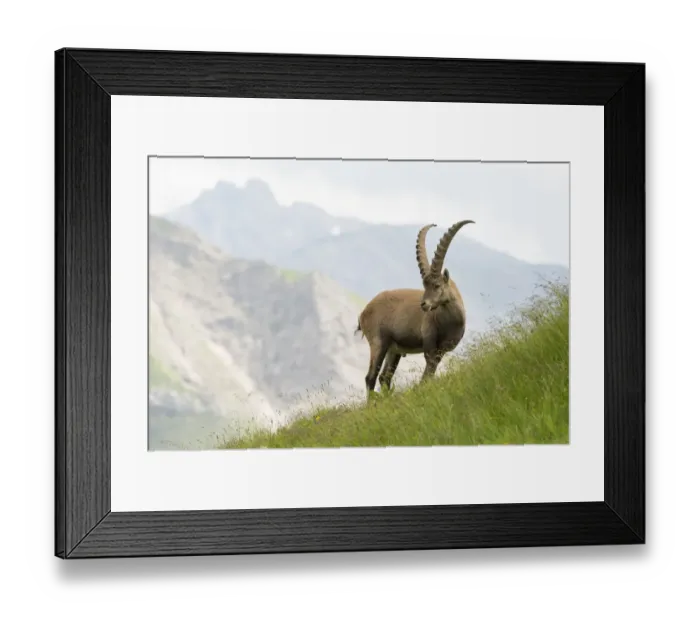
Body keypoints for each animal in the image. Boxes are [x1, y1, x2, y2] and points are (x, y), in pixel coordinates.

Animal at [355, 220, 474, 400]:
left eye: (436, 285)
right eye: (424, 285)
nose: (424, 305)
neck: (450, 321)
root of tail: (364, 312)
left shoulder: (442, 349)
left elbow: (432, 368)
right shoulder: (429, 341)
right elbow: (428, 369)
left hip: (394, 350)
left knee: (385, 377)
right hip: (379, 342)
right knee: (371, 377)